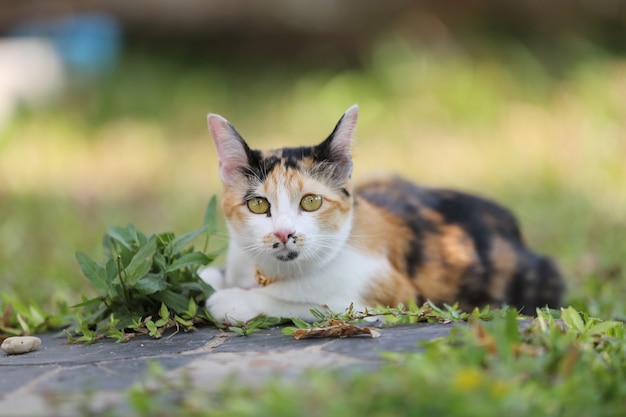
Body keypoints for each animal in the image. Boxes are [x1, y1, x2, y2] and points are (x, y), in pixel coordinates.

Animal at [199, 103, 560, 322]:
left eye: (311, 202)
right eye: (258, 204)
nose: (284, 233)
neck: (272, 272)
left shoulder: (388, 299)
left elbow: (301, 302)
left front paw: (233, 300)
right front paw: (210, 278)